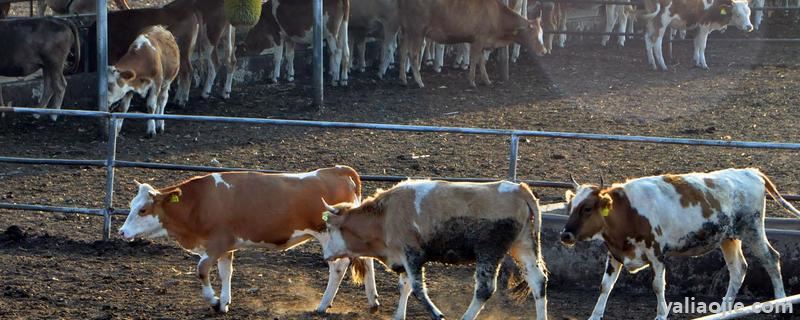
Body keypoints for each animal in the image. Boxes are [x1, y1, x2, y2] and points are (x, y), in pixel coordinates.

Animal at [119, 166, 382, 314]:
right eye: (131, 205)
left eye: (143, 210)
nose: (122, 232)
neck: (200, 202)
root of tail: (338, 171)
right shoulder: (226, 247)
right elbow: (226, 272)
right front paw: (224, 303)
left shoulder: (216, 244)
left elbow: (202, 270)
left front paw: (214, 301)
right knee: (367, 260)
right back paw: (373, 302)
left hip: (329, 236)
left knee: (338, 267)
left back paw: (322, 306)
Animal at [318, 180, 552, 320]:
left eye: (329, 228)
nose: (326, 256)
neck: (385, 216)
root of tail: (519, 189)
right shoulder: (403, 258)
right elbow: (404, 287)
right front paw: (399, 315)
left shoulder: (412, 254)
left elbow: (418, 289)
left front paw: (438, 314)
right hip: (523, 245)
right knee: (538, 281)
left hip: (490, 251)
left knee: (485, 289)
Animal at [396, 0, 548, 88]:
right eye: (534, 36)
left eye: (542, 34)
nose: (544, 51)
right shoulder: (479, 39)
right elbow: (475, 59)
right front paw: (472, 81)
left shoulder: (481, 41)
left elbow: (481, 61)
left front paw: (486, 80)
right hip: (417, 30)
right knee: (413, 55)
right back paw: (419, 82)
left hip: (406, 30)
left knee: (403, 52)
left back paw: (403, 79)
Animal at [556, 169, 800, 318]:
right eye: (571, 206)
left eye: (587, 208)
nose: (565, 235)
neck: (627, 211)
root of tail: (751, 171)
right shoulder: (615, 253)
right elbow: (605, 286)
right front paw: (595, 315)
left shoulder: (656, 253)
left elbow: (657, 285)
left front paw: (661, 315)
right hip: (728, 238)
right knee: (738, 269)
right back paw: (723, 310)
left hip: (753, 230)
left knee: (771, 259)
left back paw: (781, 302)